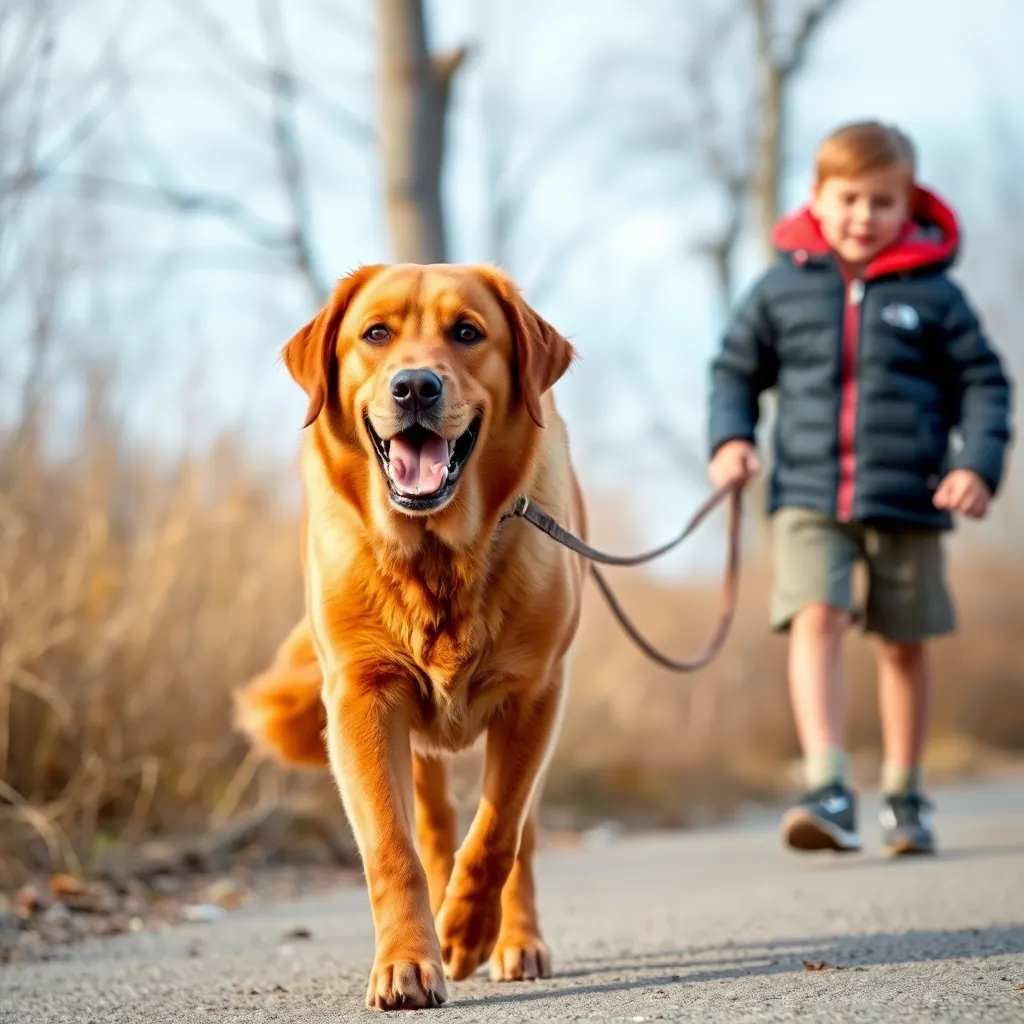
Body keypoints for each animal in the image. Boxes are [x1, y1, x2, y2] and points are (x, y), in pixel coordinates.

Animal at [234, 262, 585, 1007]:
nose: (416, 386)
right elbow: (394, 850)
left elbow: (498, 834)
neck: (437, 558)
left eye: (467, 333)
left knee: (521, 838)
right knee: (434, 822)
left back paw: (515, 940)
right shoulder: (362, 699)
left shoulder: (534, 696)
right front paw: (408, 962)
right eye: (375, 334)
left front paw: (467, 931)